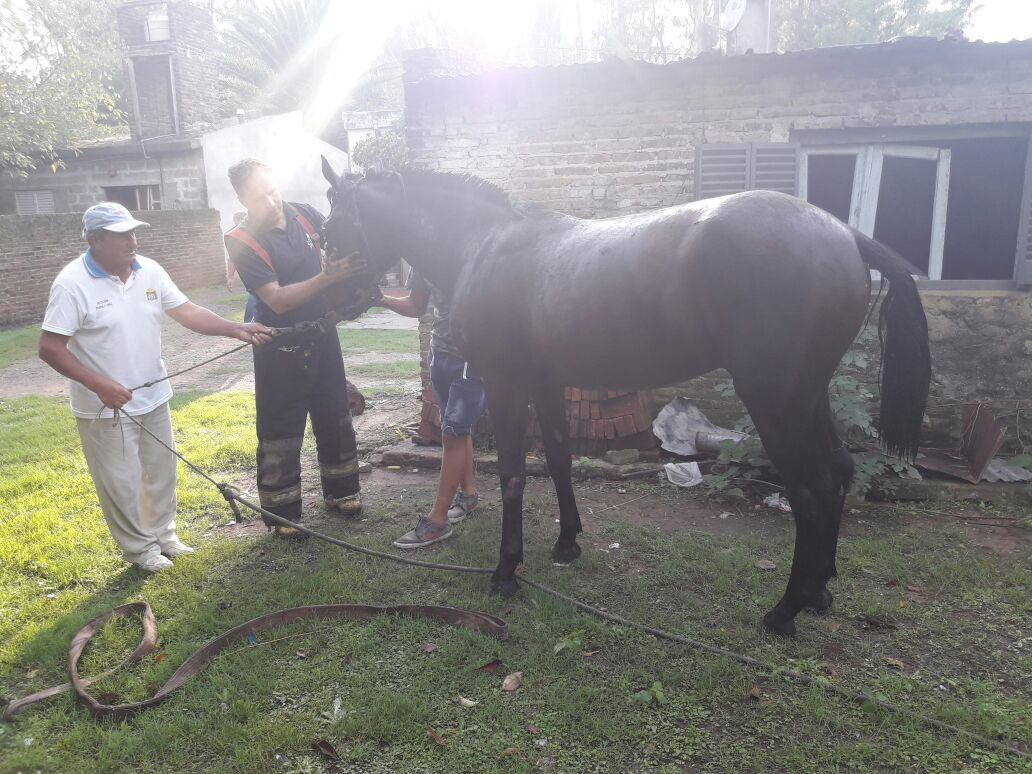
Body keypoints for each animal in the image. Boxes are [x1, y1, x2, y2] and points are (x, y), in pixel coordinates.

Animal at [319, 158, 930, 636]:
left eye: (333, 225)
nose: (339, 301)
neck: (484, 245)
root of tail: (844, 234)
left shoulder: (507, 383)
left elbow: (514, 474)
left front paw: (506, 573)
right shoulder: (546, 382)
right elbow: (558, 459)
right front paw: (567, 543)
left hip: (775, 399)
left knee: (813, 486)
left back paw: (786, 610)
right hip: (807, 395)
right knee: (841, 471)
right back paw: (820, 590)